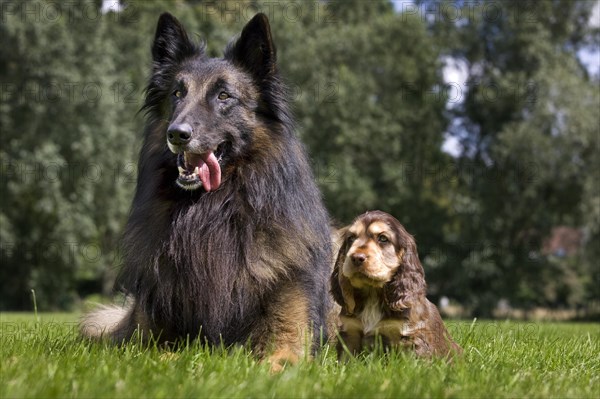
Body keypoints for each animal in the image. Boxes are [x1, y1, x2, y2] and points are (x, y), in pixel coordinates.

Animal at [80, 13, 330, 376]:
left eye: (224, 96)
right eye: (177, 93)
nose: (177, 134)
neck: (212, 212)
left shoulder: (290, 340)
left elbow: (272, 361)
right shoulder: (146, 337)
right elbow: (161, 354)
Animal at [330, 211, 462, 360]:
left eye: (383, 238)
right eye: (351, 238)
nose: (357, 258)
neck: (372, 294)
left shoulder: (409, 337)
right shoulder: (350, 331)